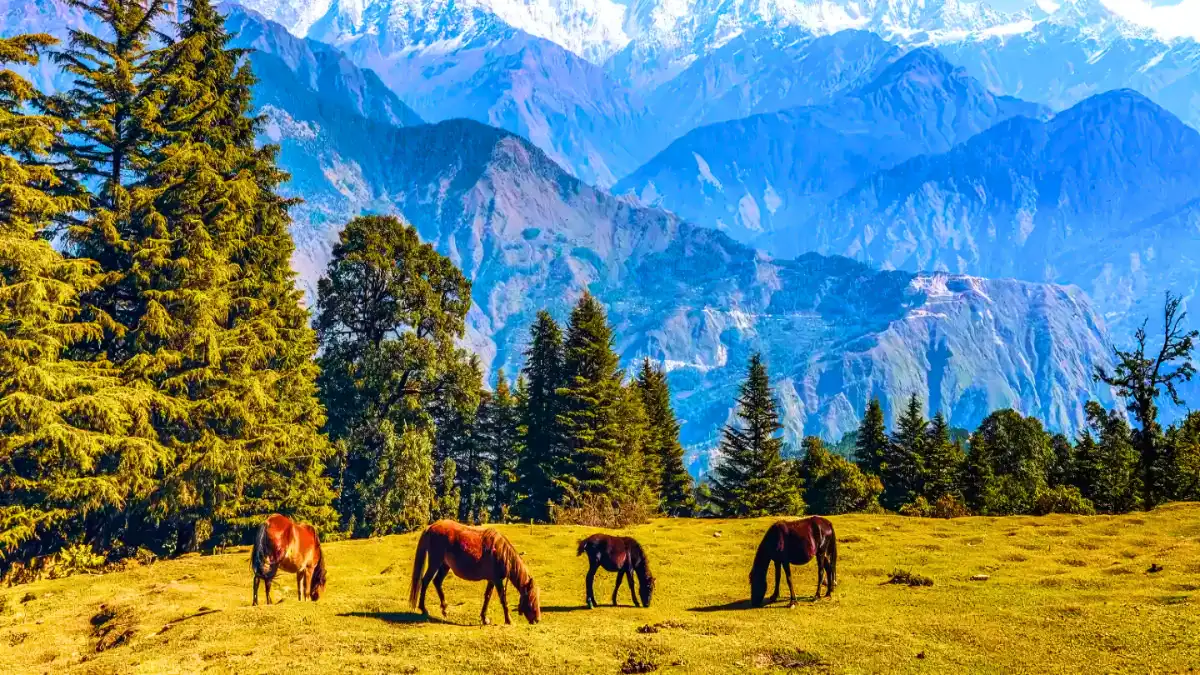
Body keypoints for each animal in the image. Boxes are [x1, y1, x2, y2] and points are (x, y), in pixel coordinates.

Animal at [412, 516, 544, 624]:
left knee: (437, 582)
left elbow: (487, 597)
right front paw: (508, 620)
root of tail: (431, 527)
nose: (537, 620)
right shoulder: (497, 580)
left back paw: (444, 609)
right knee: (425, 581)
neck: (501, 553)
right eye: (531, 598)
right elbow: (503, 598)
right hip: (435, 562)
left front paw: (484, 618)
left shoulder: (492, 580)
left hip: (444, 565)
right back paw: (424, 609)